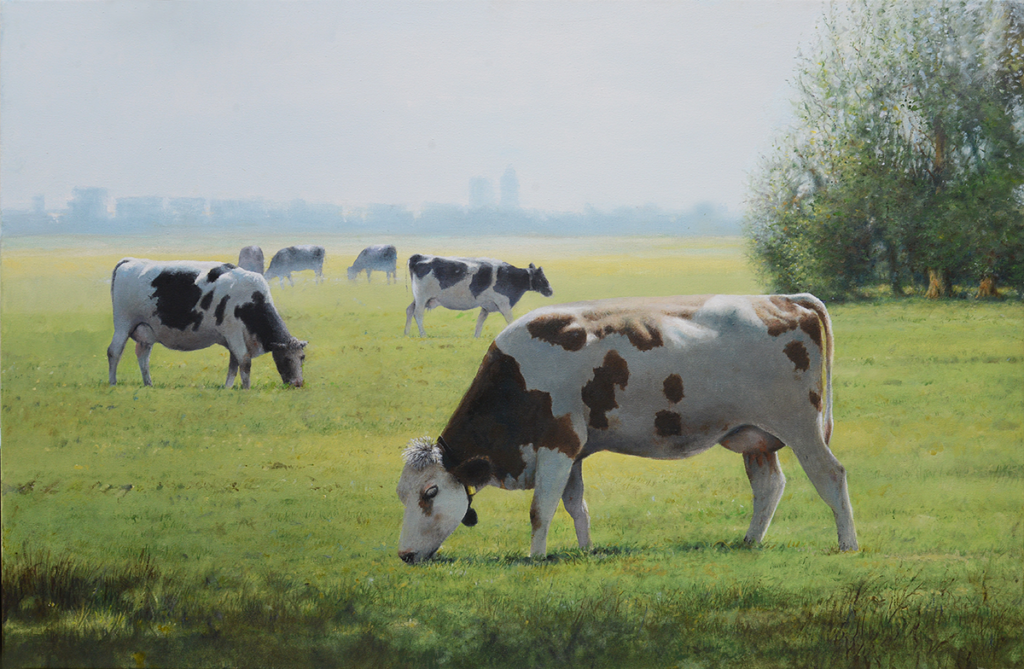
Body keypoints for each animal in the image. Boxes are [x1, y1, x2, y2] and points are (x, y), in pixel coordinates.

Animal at [107, 258, 307, 389]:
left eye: (302, 357)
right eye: (286, 358)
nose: (298, 383)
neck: (251, 300)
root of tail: (130, 261)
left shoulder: (234, 339)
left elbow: (234, 364)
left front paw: (227, 388)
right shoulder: (233, 332)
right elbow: (244, 361)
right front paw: (246, 389)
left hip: (145, 331)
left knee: (143, 356)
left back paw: (148, 384)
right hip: (123, 324)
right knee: (114, 351)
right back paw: (113, 382)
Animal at [396, 293, 858, 564]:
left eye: (429, 493)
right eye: (402, 493)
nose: (402, 554)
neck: (518, 377)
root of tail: (783, 298)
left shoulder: (558, 444)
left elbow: (540, 509)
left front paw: (535, 558)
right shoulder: (573, 451)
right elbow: (575, 506)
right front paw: (585, 550)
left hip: (801, 427)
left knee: (831, 476)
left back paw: (848, 543)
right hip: (754, 437)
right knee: (768, 485)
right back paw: (750, 541)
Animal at [404, 254, 553, 338]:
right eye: (541, 279)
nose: (551, 291)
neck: (510, 276)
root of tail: (419, 256)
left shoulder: (486, 306)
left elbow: (480, 322)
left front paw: (476, 337)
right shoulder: (503, 302)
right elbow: (510, 320)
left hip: (420, 298)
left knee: (410, 310)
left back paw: (406, 333)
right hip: (422, 297)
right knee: (418, 313)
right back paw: (423, 335)